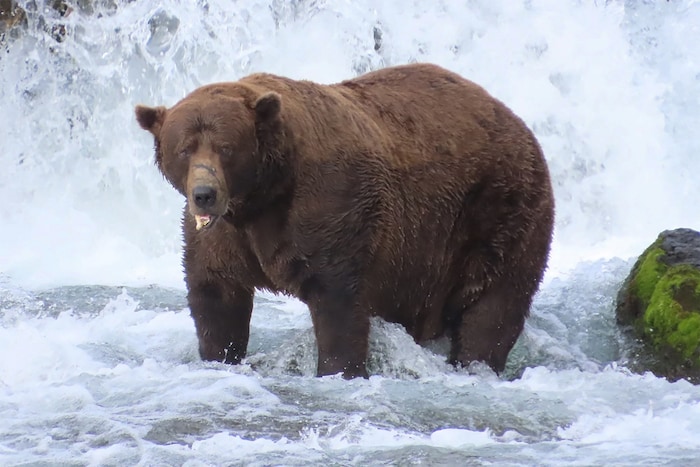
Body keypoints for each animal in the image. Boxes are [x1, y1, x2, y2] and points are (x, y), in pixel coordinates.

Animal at [135, 63, 555, 379]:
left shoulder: (331, 207)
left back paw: (475, 363)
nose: (204, 193)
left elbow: (338, 300)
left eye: (226, 148)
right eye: (184, 148)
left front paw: (339, 369)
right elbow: (216, 294)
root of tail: (516, 121)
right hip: (424, 258)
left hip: (498, 209)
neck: (263, 197)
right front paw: (220, 355)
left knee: (494, 304)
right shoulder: (224, 236)